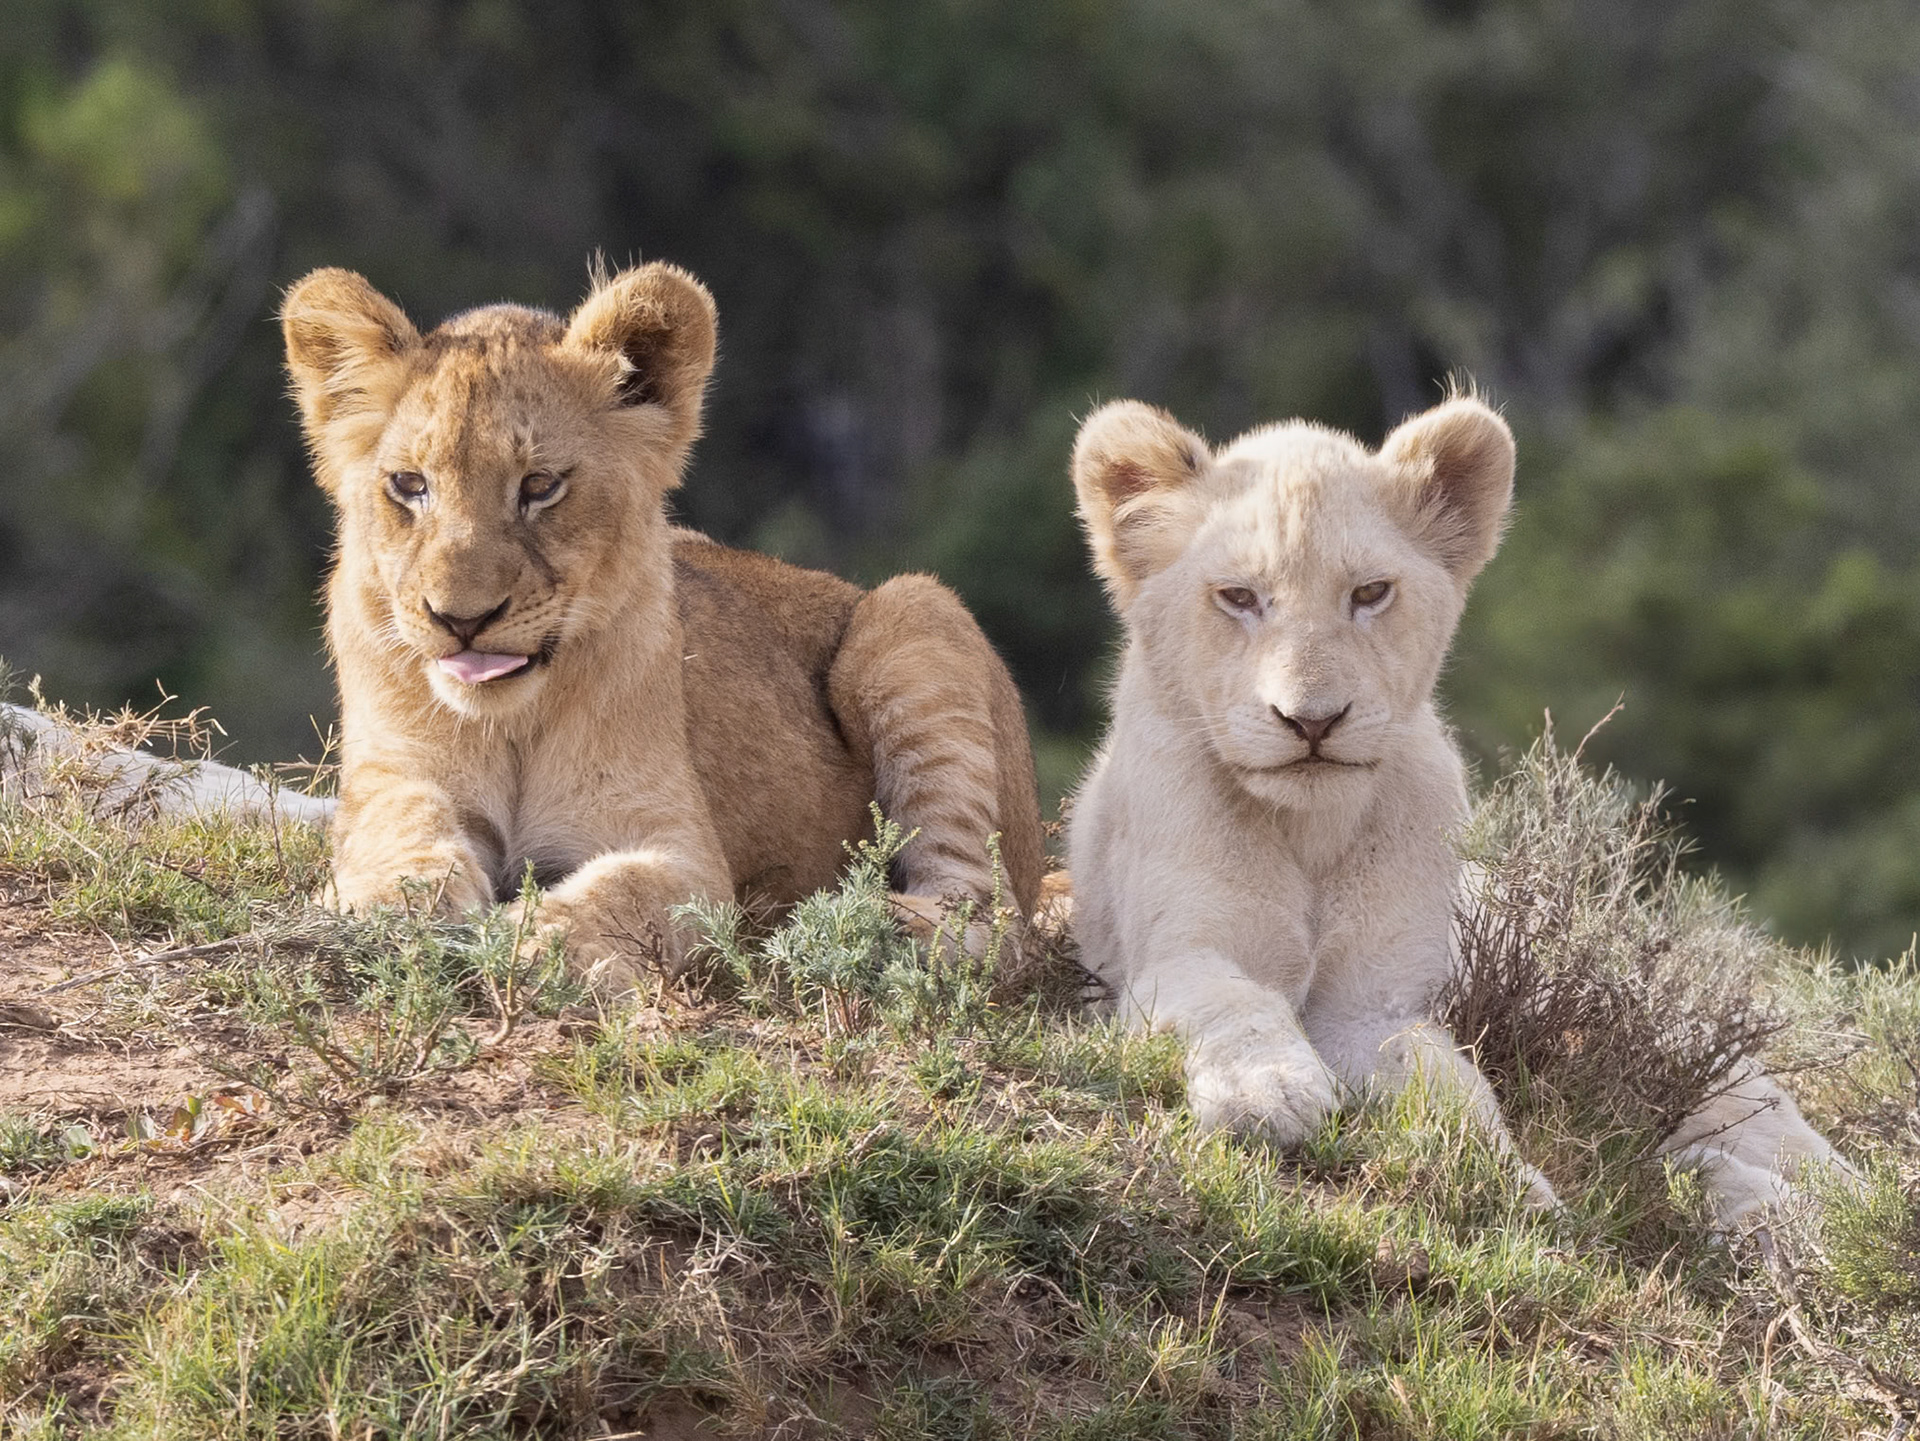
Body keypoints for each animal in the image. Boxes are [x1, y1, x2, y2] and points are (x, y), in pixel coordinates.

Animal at [279, 261, 1044, 986]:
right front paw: (385, 907)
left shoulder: (682, 849)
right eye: (410, 485)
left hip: (913, 611)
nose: (461, 619)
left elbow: (620, 894)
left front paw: (529, 940)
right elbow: (401, 844)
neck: (514, 722)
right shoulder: (397, 779)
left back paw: (864, 919)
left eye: (540, 485)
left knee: (992, 917)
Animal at [1065, 394, 1842, 1224]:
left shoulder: (1375, 1004)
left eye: (1370, 593)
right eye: (1238, 597)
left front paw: (1511, 1188)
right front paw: (1266, 1094)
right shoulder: (1176, 956)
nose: (1313, 721)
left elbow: (1454, 1090)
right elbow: (1229, 1003)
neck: (1312, 828)